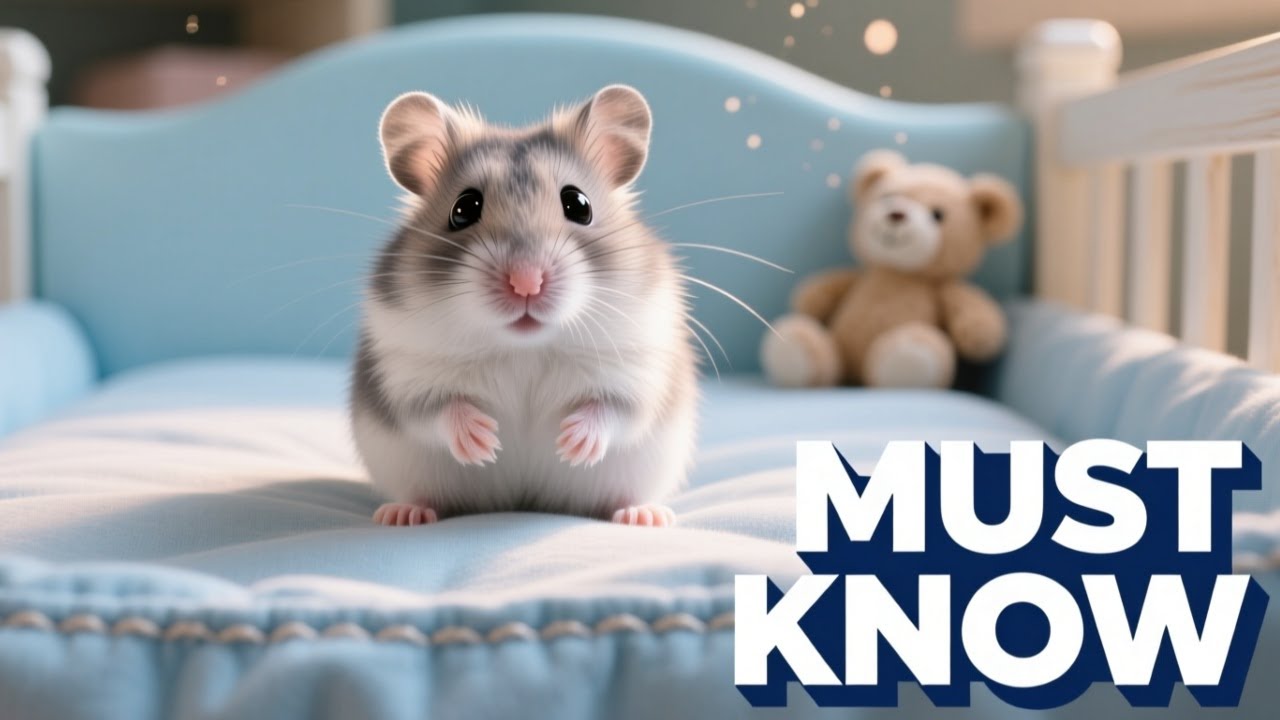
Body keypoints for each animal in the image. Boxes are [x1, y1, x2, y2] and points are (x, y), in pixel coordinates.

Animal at [351, 85, 698, 528]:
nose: (525, 283)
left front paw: (572, 443)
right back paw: (404, 514)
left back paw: (644, 516)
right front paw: (484, 441)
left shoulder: (638, 370)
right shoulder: (406, 373)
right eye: (463, 209)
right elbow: (437, 409)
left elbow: (613, 409)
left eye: (579, 204)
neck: (525, 347)